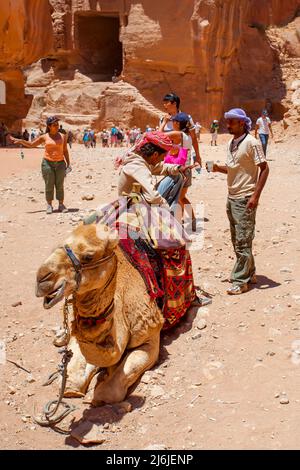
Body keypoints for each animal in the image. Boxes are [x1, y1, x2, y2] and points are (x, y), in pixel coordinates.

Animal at [37, 222, 166, 406]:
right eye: (61, 244)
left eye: (88, 256)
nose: (42, 279)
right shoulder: (79, 336)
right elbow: (73, 373)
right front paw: (71, 389)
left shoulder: (151, 337)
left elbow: (109, 391)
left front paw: (100, 388)